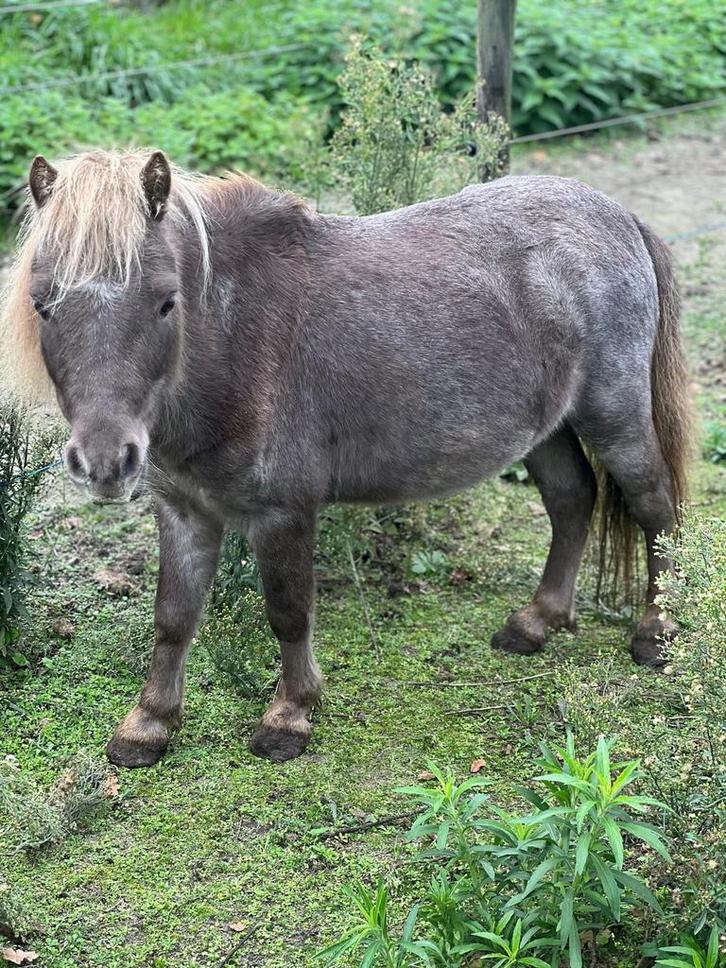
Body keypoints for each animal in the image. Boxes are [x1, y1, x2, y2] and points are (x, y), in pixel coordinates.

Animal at [0, 148, 691, 768]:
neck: (236, 344)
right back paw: (536, 623)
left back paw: (655, 634)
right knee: (572, 501)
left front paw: (290, 717)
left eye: (167, 301)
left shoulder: (283, 512)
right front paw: (148, 726)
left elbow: (288, 612)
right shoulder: (184, 510)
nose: (105, 461)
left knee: (654, 507)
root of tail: (618, 216)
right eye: (43, 305)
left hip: (613, 414)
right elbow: (173, 616)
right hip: (544, 429)